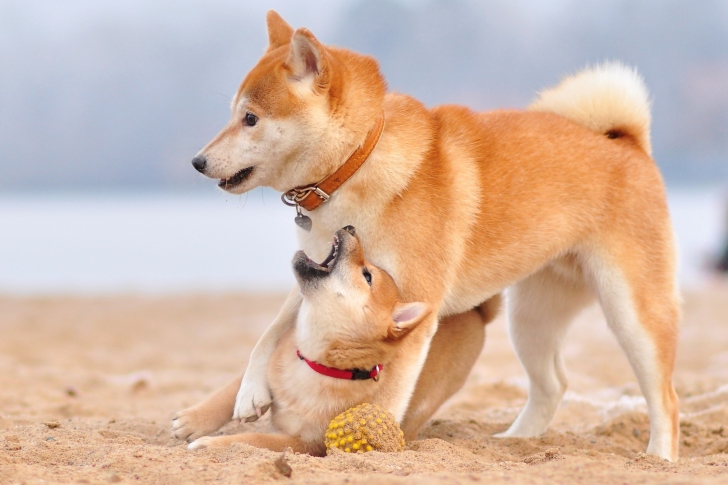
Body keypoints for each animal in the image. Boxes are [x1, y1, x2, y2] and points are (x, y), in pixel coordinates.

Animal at [185, 227, 432, 454]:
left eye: (367, 275)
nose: (350, 228)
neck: (312, 363)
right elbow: (236, 386)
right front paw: (193, 420)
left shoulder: (304, 443)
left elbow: (254, 439)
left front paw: (210, 444)